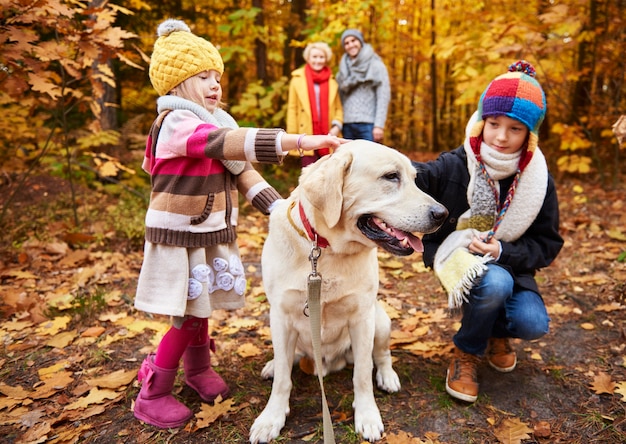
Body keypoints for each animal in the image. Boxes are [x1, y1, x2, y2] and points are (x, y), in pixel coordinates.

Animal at [246, 140, 446, 442]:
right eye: (391, 176)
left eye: (414, 178)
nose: (442, 214)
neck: (326, 249)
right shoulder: (280, 316)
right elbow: (283, 378)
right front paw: (271, 418)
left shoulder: (362, 318)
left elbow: (362, 374)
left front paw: (367, 415)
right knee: (287, 359)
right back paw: (273, 364)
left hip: (380, 320)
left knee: (381, 355)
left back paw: (388, 376)